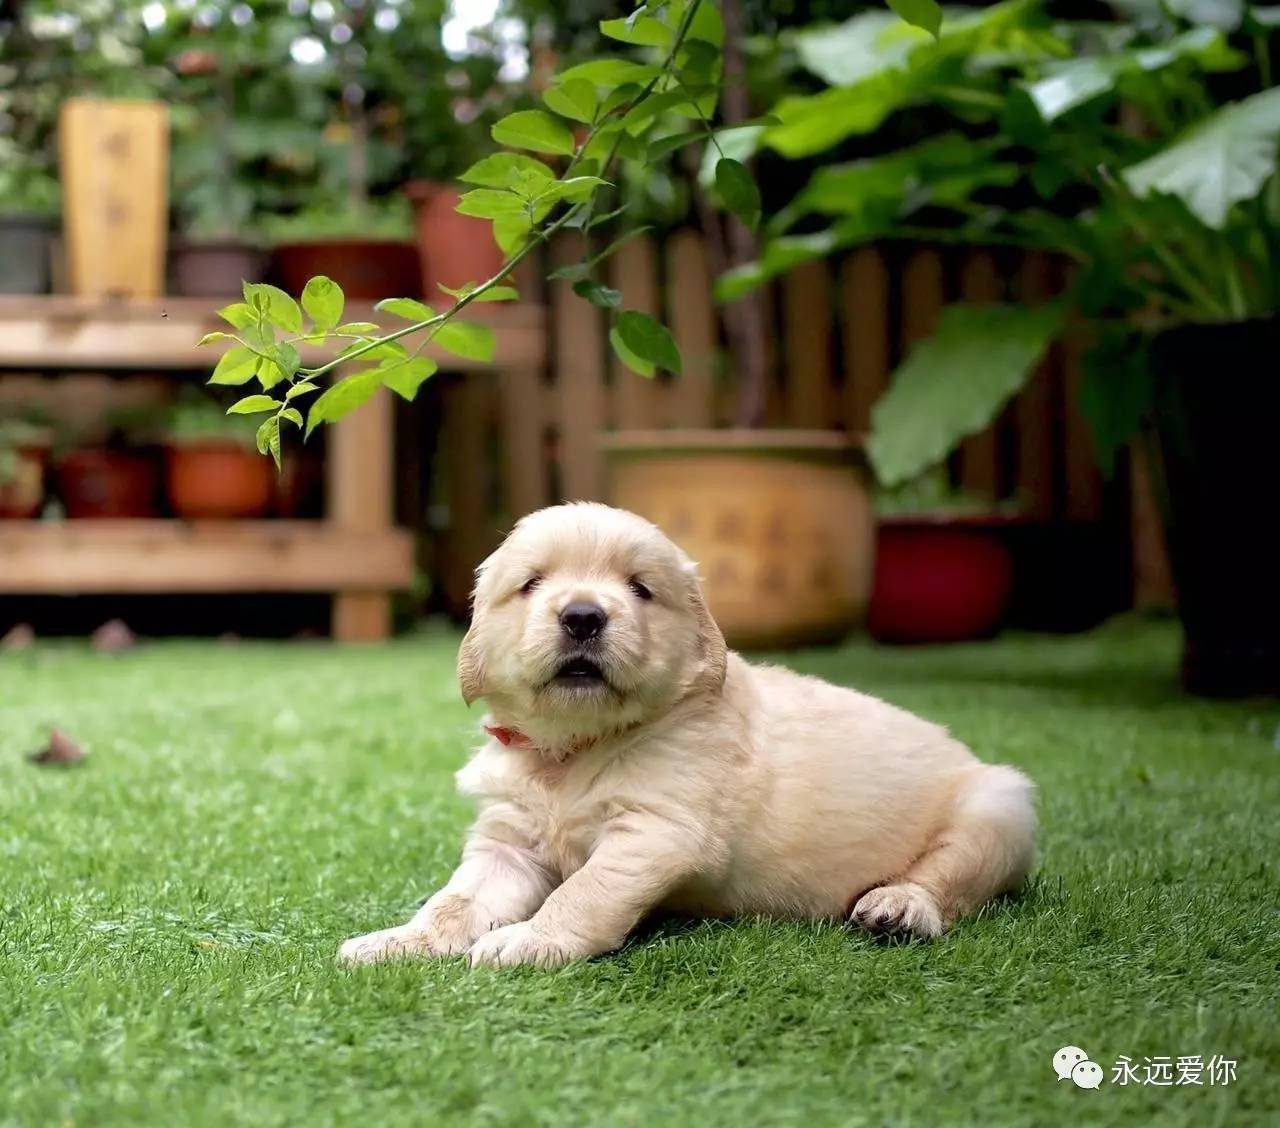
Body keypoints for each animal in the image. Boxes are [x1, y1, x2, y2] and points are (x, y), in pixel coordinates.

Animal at [343, 501, 1039, 967]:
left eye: (640, 589)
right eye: (531, 584)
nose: (583, 616)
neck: (573, 750)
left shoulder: (656, 830)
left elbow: (583, 892)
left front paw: (529, 939)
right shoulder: (508, 843)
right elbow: (456, 900)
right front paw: (400, 941)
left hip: (999, 808)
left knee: (951, 879)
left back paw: (899, 908)